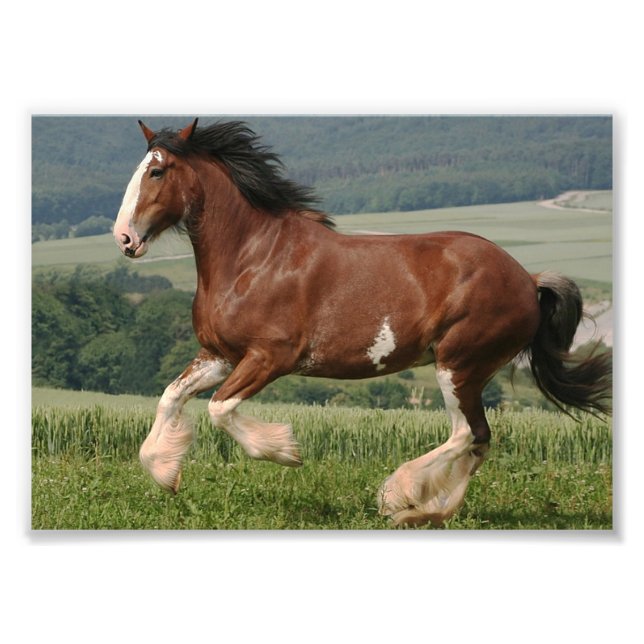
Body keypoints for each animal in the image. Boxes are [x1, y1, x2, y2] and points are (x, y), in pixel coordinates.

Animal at [113, 118, 612, 527]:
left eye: (157, 172)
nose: (124, 239)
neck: (253, 258)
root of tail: (528, 279)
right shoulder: (219, 355)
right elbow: (170, 397)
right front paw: (165, 473)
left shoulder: (270, 357)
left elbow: (219, 409)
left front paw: (285, 451)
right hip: (463, 368)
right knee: (480, 439)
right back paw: (427, 512)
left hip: (460, 364)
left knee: (468, 433)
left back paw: (399, 497)